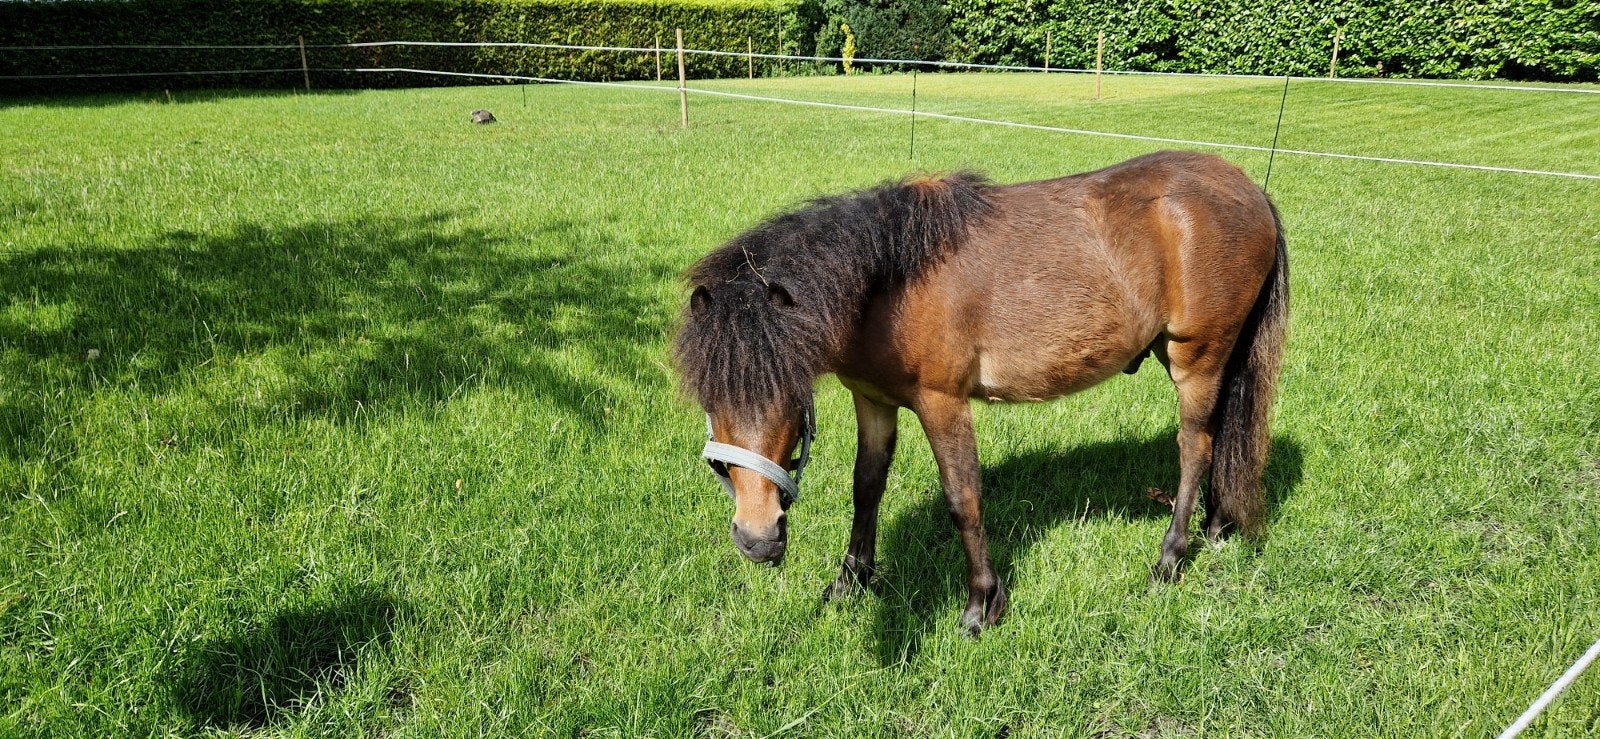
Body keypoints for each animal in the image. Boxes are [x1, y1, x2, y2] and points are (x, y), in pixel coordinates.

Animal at [674, 151, 1288, 636]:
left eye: (788, 393)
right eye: (710, 399)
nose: (757, 539)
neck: (890, 281)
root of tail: (1247, 188)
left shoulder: (942, 402)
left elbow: (962, 498)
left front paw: (981, 605)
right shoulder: (872, 401)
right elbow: (865, 487)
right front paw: (850, 583)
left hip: (1197, 360)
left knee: (1196, 448)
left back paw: (1170, 557)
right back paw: (1216, 527)